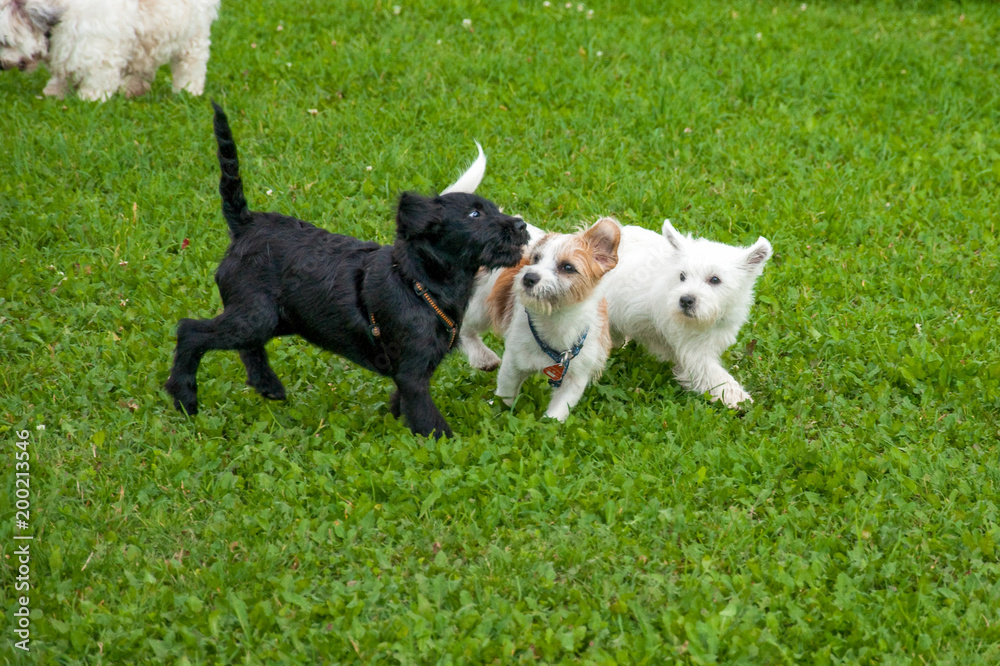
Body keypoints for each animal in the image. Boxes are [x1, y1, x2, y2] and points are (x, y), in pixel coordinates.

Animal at [0, 0, 220, 100]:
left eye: (4, 42)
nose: (1, 66)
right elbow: (62, 74)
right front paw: (53, 93)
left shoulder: (98, 52)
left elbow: (96, 79)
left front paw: (89, 99)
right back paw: (133, 88)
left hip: (193, 36)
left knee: (191, 64)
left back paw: (188, 91)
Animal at [164, 102, 528, 436]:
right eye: (474, 215)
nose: (521, 225)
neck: (419, 280)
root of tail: (245, 225)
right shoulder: (412, 373)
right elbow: (428, 418)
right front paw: (444, 445)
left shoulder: (412, 372)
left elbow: (404, 404)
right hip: (256, 316)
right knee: (190, 331)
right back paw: (185, 397)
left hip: (275, 317)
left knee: (246, 347)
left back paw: (268, 385)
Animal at [600, 219, 772, 404]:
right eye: (682, 276)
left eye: (715, 279)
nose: (685, 300)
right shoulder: (694, 352)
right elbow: (716, 377)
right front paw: (739, 399)